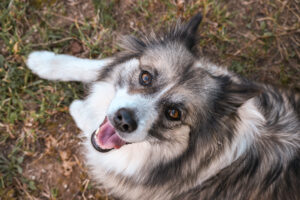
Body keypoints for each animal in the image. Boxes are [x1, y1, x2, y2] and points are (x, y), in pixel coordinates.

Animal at [26, 13, 300, 198]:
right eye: (146, 77)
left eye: (174, 113)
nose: (123, 120)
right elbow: (100, 66)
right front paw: (43, 61)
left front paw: (80, 107)